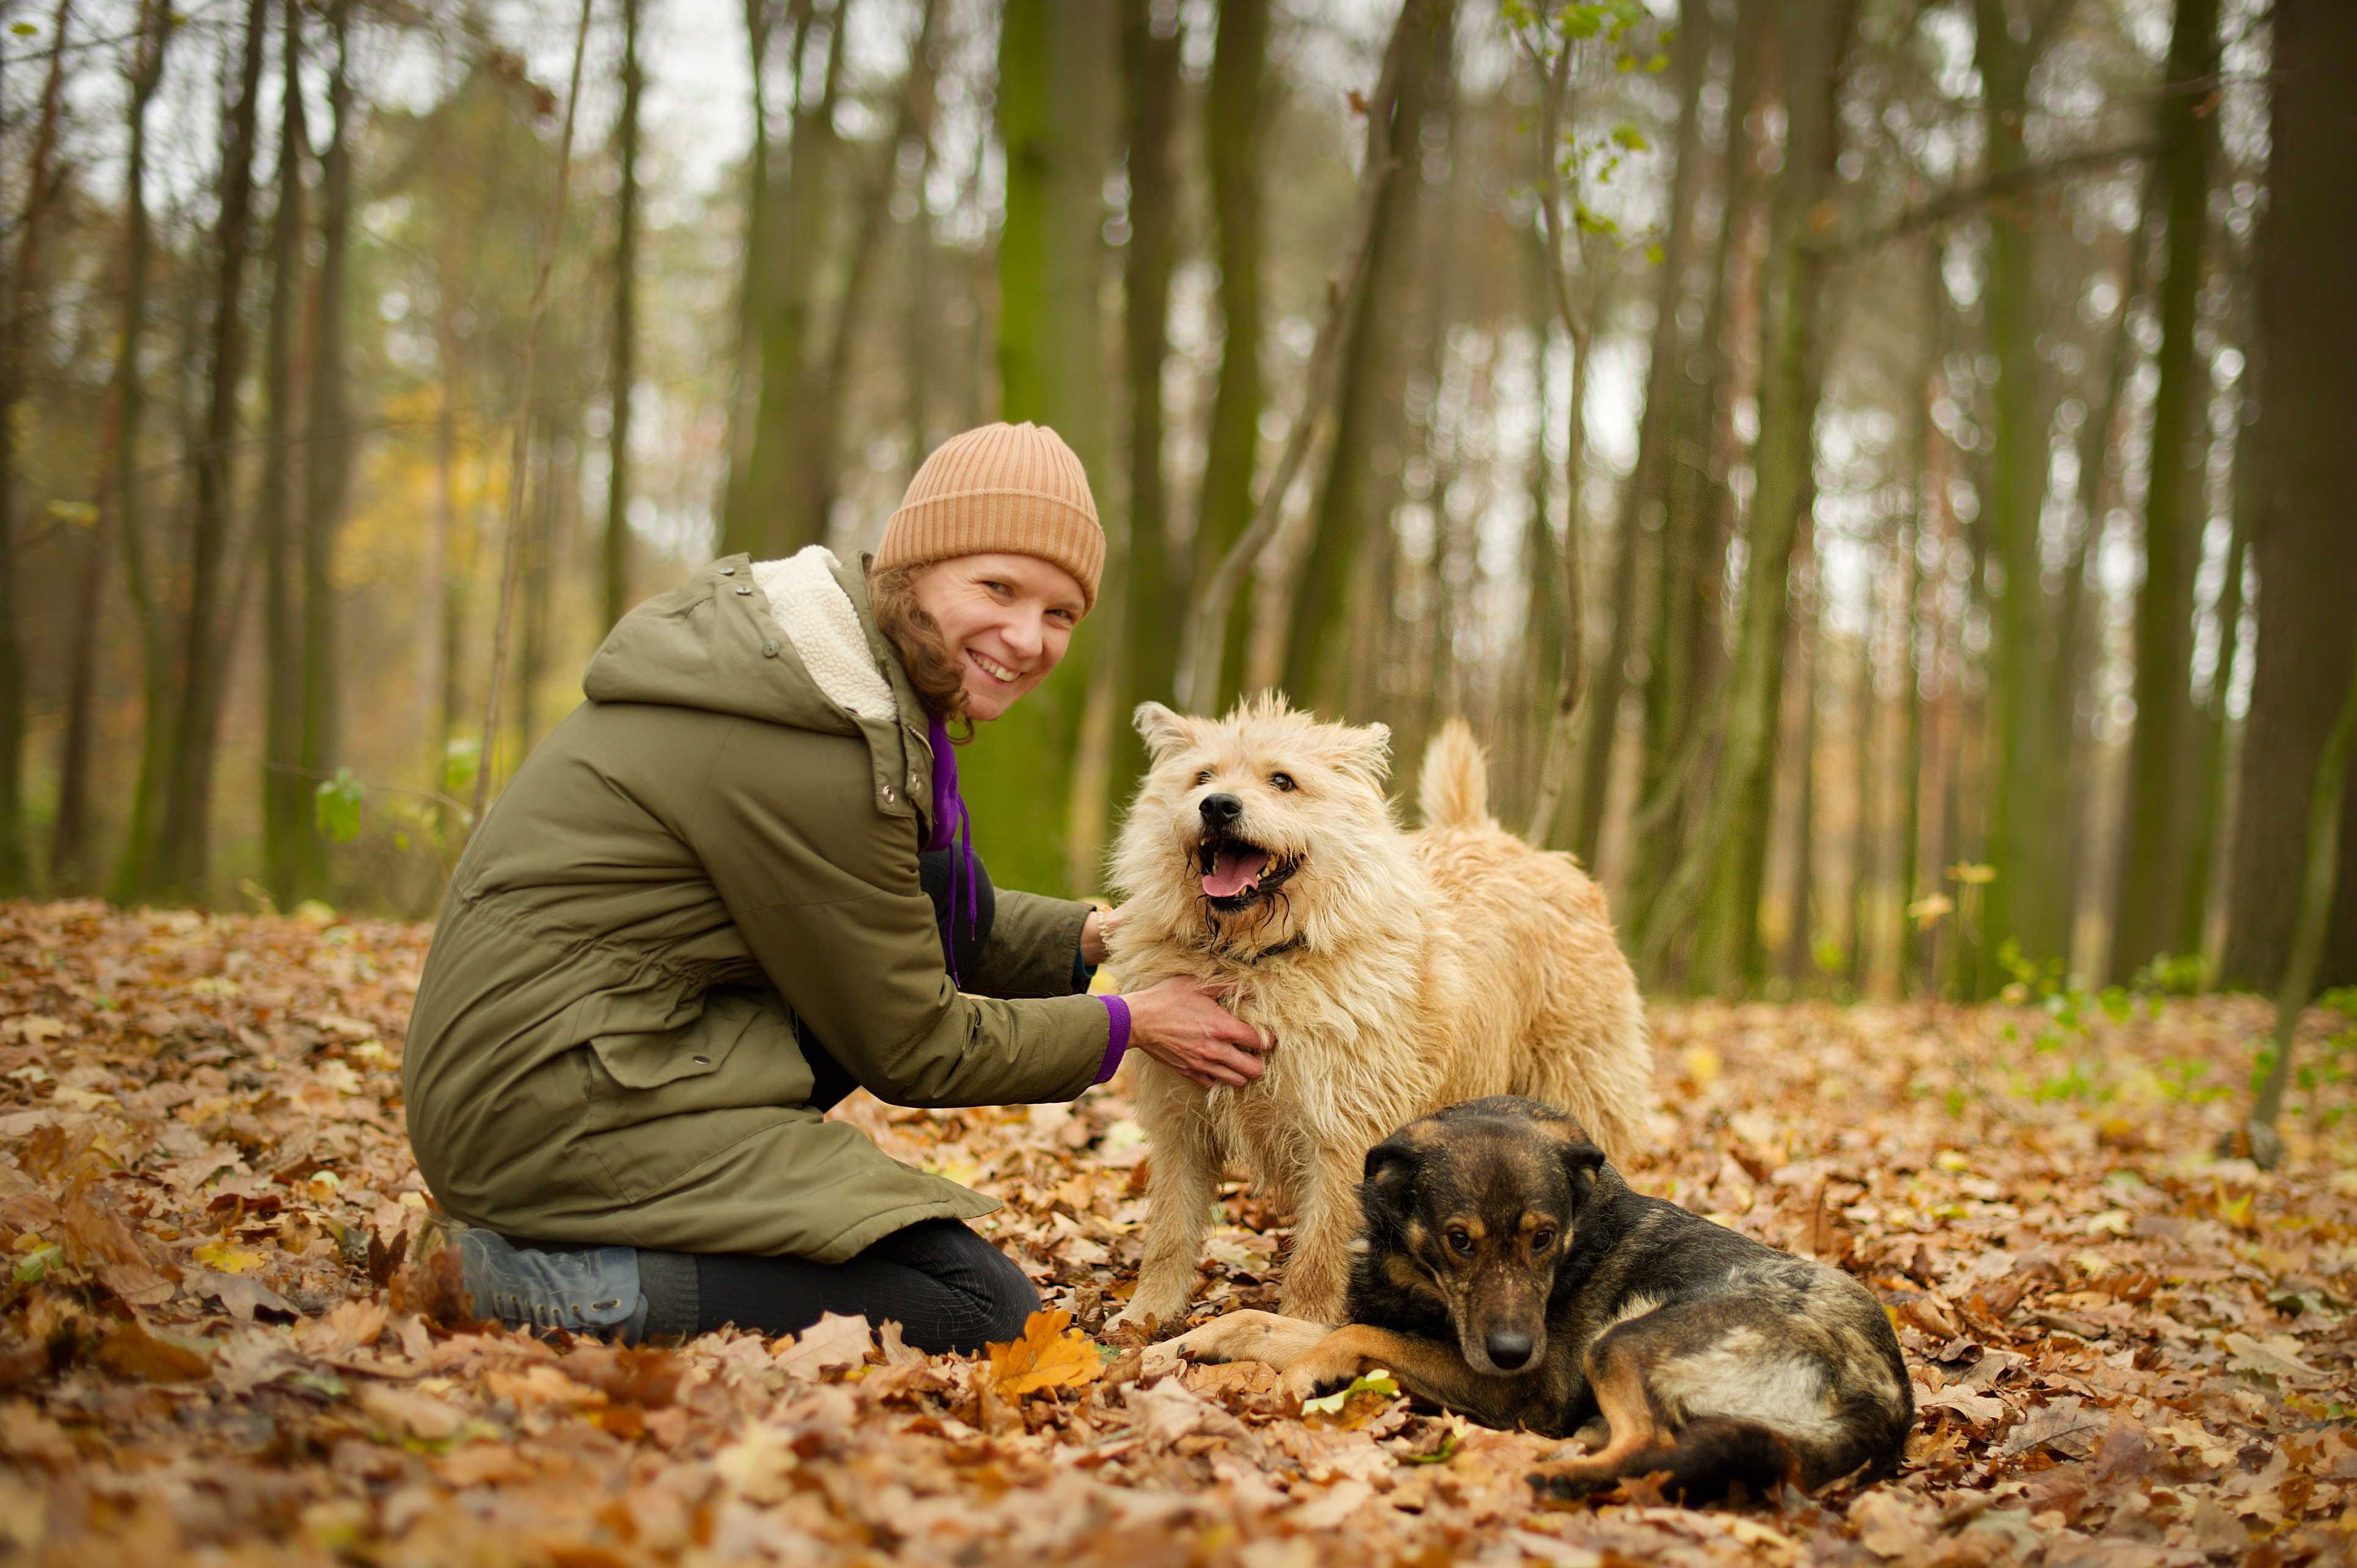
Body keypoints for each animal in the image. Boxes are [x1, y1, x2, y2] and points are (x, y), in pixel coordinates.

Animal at [1107, 698, 1650, 1329]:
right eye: (1201, 777)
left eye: (1282, 781)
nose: (1217, 805)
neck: (1255, 959)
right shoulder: (1181, 1126)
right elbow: (1169, 1231)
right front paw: (1145, 1316)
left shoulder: (1346, 1132)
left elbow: (1322, 1250)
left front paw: (1300, 1328)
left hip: (1576, 1088)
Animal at [1159, 1094, 1914, 1500]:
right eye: (1459, 1241)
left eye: (1543, 1238)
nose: (1513, 1350)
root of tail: (1884, 1403)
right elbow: (1259, 1320)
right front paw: (1178, 1346)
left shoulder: (1513, 1388)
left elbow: (1349, 1336)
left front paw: (1297, 1379)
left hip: (1622, 1342)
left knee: (1649, 1444)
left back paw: (1550, 1471)